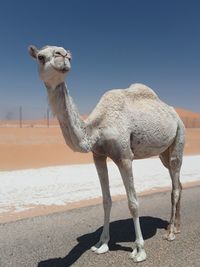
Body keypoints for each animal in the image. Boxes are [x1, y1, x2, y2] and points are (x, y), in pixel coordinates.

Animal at [27, 44, 184, 264]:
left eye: (69, 55)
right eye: (41, 56)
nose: (62, 55)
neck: (96, 129)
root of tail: (175, 113)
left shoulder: (125, 157)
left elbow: (133, 203)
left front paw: (139, 250)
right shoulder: (98, 156)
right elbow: (106, 200)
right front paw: (101, 244)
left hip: (179, 136)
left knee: (176, 184)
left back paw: (169, 234)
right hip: (164, 153)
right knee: (176, 182)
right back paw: (174, 226)